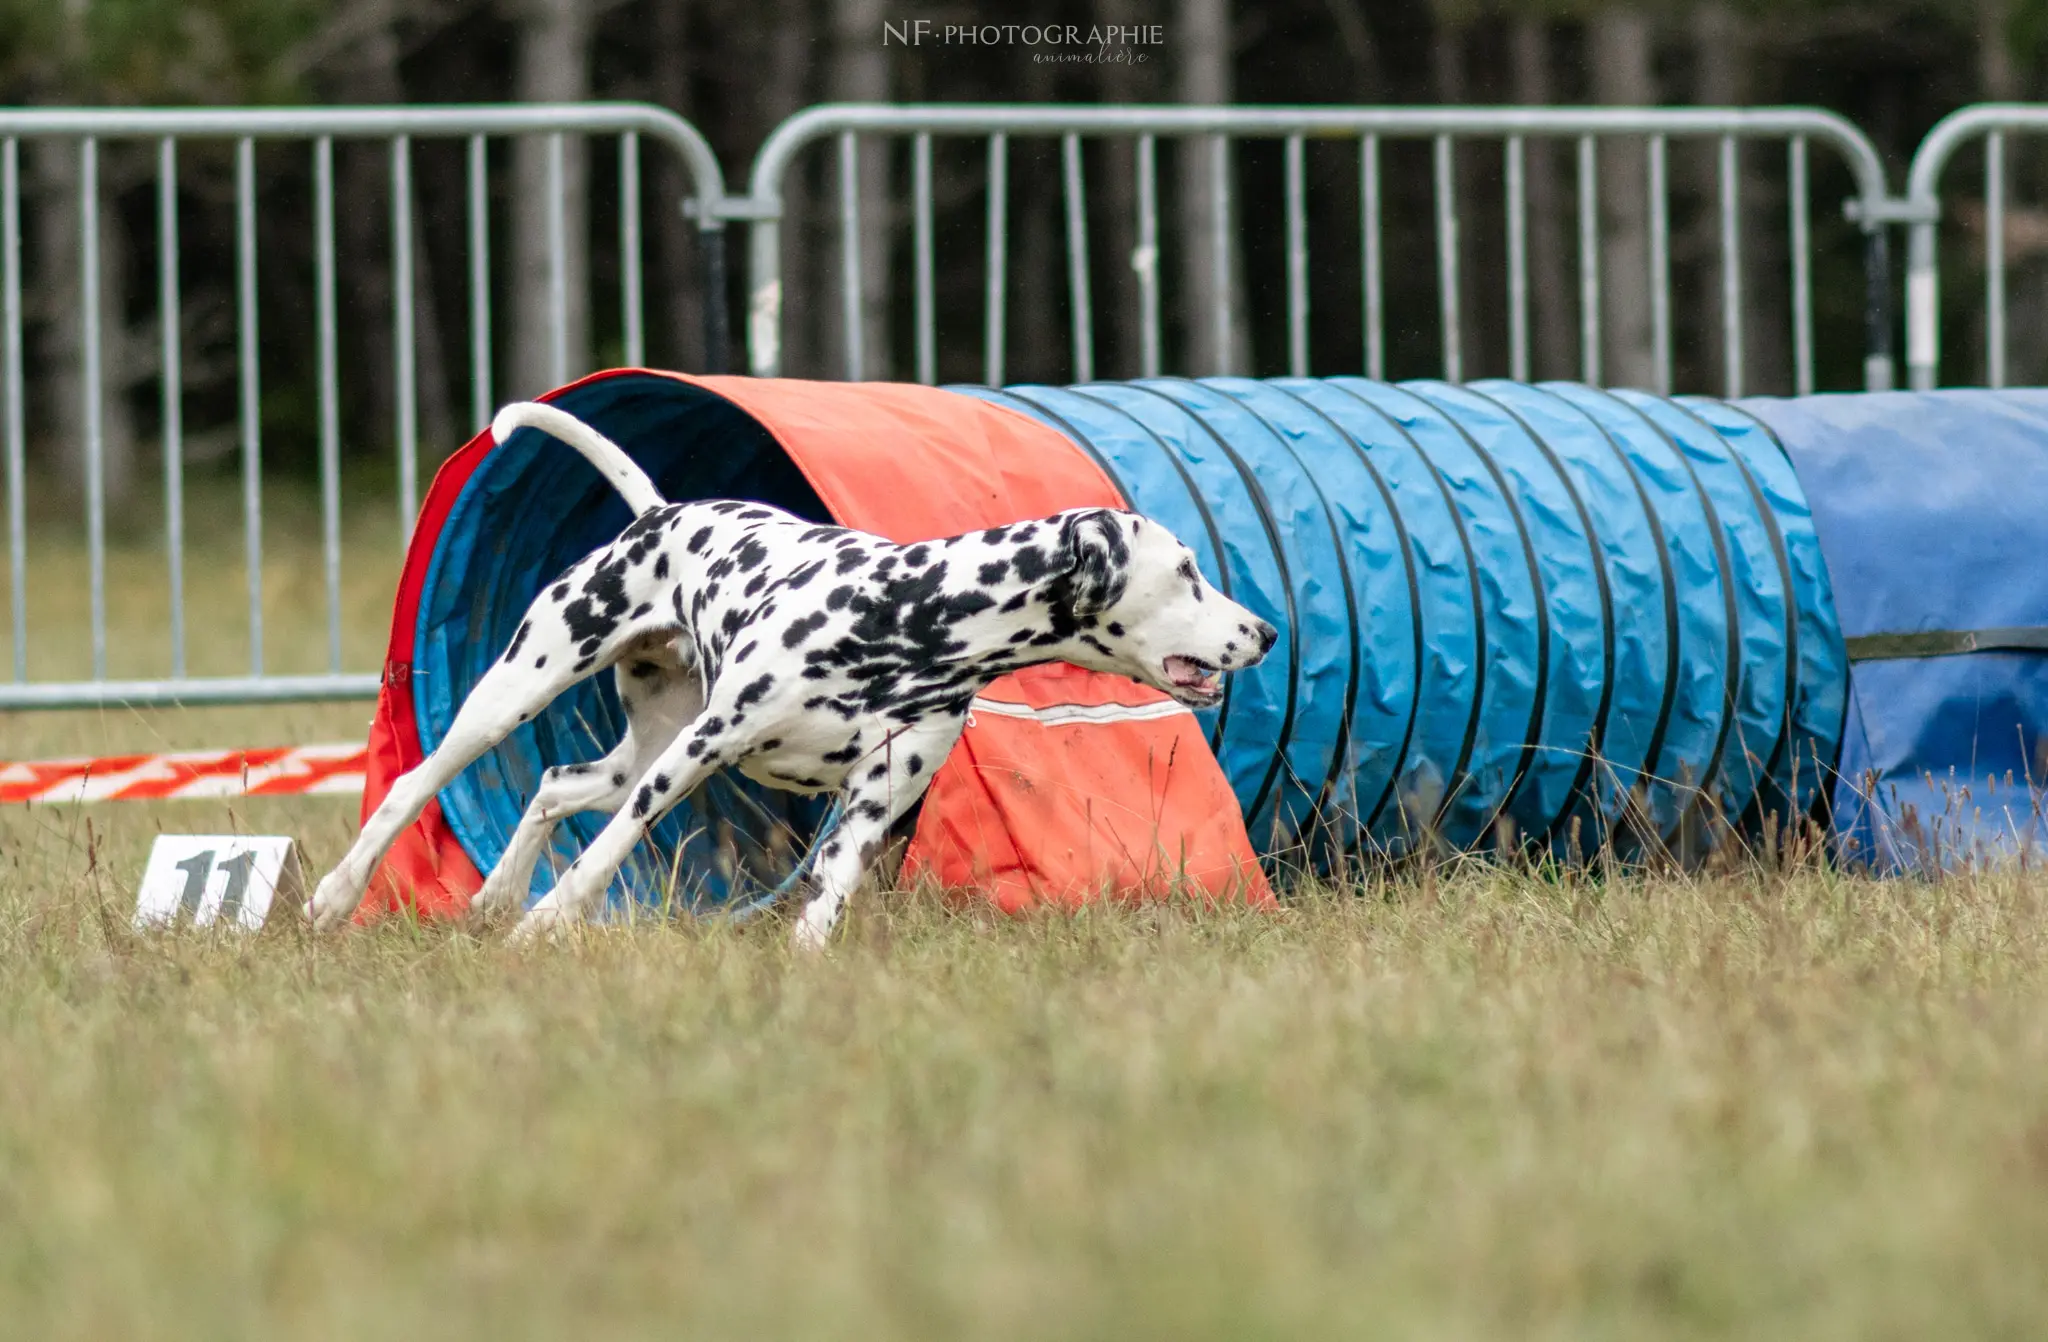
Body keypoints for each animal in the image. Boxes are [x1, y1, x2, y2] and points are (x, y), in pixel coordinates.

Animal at [305, 399, 1269, 946]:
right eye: (1188, 571)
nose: (1263, 632)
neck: (909, 619)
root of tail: (658, 513)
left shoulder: (873, 802)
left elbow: (828, 893)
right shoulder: (698, 755)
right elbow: (607, 852)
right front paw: (548, 925)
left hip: (636, 746)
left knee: (550, 786)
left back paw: (495, 896)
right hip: (524, 696)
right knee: (413, 788)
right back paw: (337, 896)